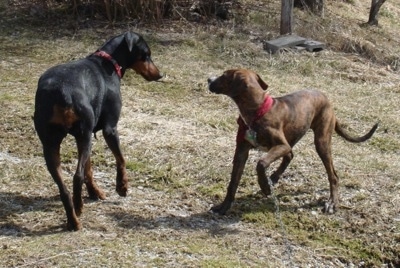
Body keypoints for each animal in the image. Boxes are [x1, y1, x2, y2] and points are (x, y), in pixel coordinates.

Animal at [34, 31, 162, 230]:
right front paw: (122, 186)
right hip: (84, 135)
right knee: (76, 176)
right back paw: (79, 208)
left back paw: (73, 220)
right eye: (146, 54)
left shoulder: (82, 138)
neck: (109, 62)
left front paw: (94, 192)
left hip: (52, 144)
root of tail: (62, 92)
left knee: (64, 188)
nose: (160, 75)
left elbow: (89, 168)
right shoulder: (110, 129)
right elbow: (121, 159)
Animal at [208, 68, 380, 214]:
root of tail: (328, 101)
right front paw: (224, 206)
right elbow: (233, 182)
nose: (209, 79)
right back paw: (273, 179)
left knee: (333, 175)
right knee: (290, 156)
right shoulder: (241, 152)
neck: (258, 111)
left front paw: (264, 186)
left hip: (322, 143)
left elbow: (261, 163)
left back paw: (332, 202)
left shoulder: (280, 145)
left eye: (224, 75)